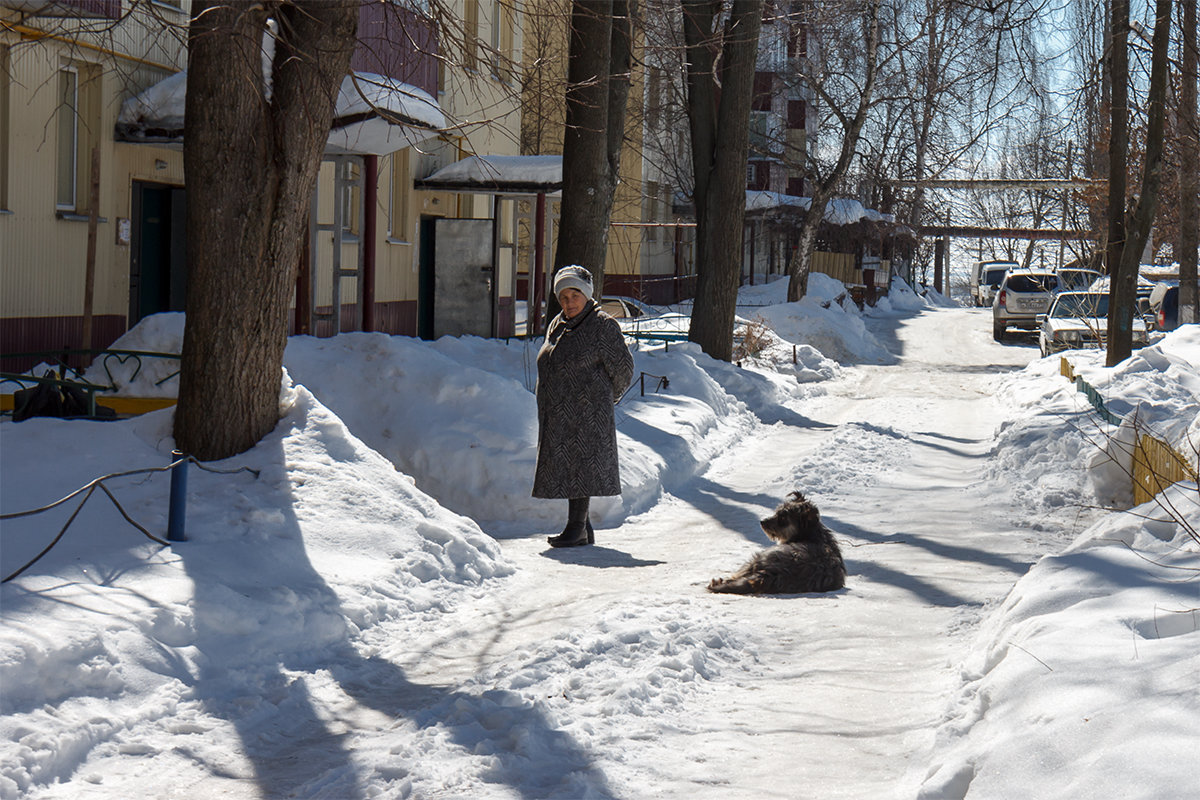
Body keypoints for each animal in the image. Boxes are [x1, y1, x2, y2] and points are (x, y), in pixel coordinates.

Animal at [705, 491, 849, 597]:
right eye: (777, 512)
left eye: (783, 517)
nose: (762, 521)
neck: (811, 533)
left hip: (760, 556)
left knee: (739, 574)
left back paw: (719, 582)